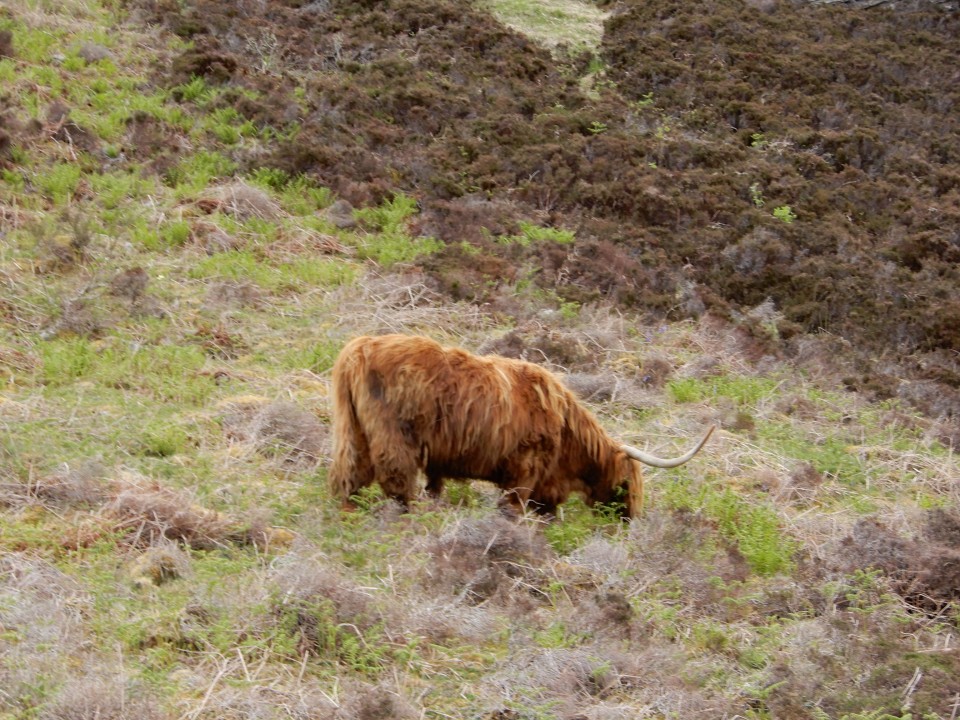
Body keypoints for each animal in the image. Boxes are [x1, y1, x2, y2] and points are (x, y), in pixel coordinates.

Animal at [330, 334, 712, 520]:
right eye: (628, 486)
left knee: (349, 472)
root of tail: (358, 348)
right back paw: (408, 517)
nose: (631, 519)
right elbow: (514, 506)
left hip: (353, 428)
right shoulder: (525, 469)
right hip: (394, 433)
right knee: (394, 478)